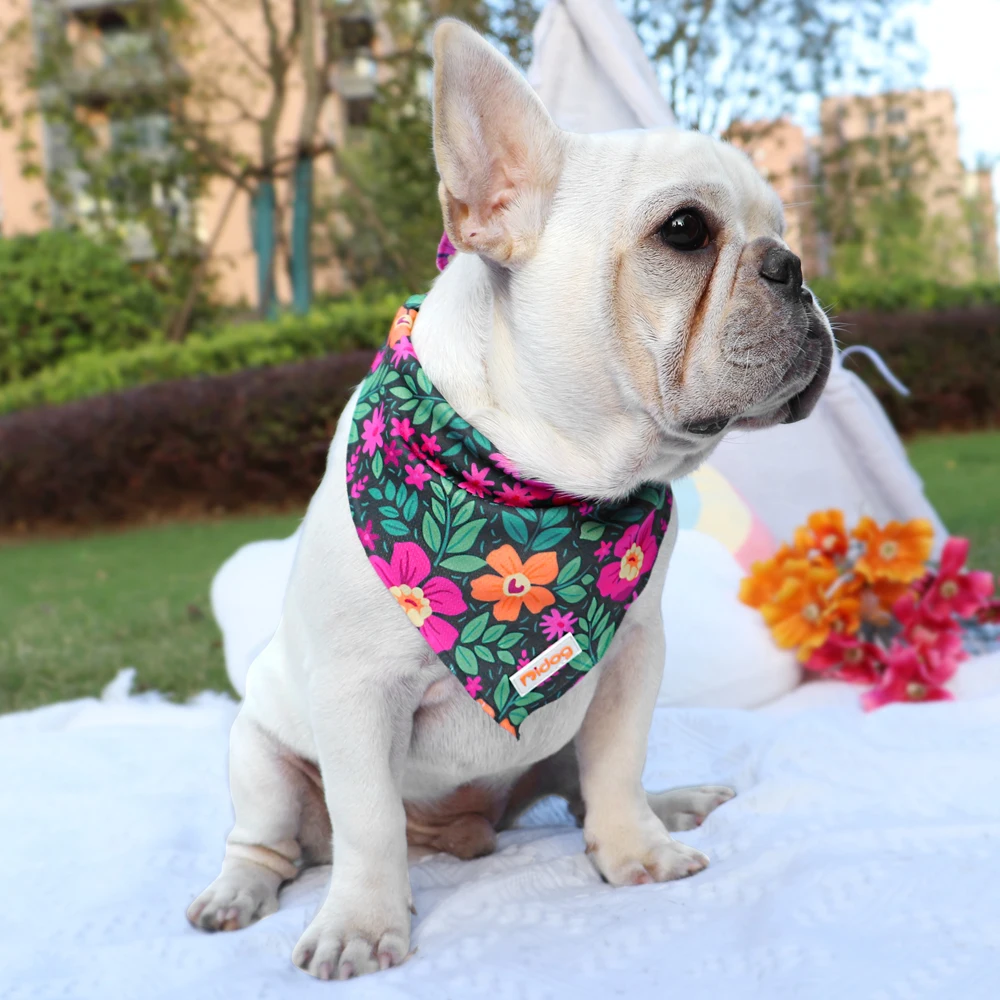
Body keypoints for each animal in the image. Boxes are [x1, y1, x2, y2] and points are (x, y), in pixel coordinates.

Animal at [187, 19, 833, 981]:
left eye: (781, 231)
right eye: (685, 231)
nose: (794, 266)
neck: (548, 479)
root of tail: (460, 836)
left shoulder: (630, 656)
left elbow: (617, 765)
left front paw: (636, 852)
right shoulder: (355, 696)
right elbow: (366, 821)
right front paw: (362, 924)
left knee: (582, 789)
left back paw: (670, 804)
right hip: (259, 756)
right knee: (272, 842)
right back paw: (238, 892)